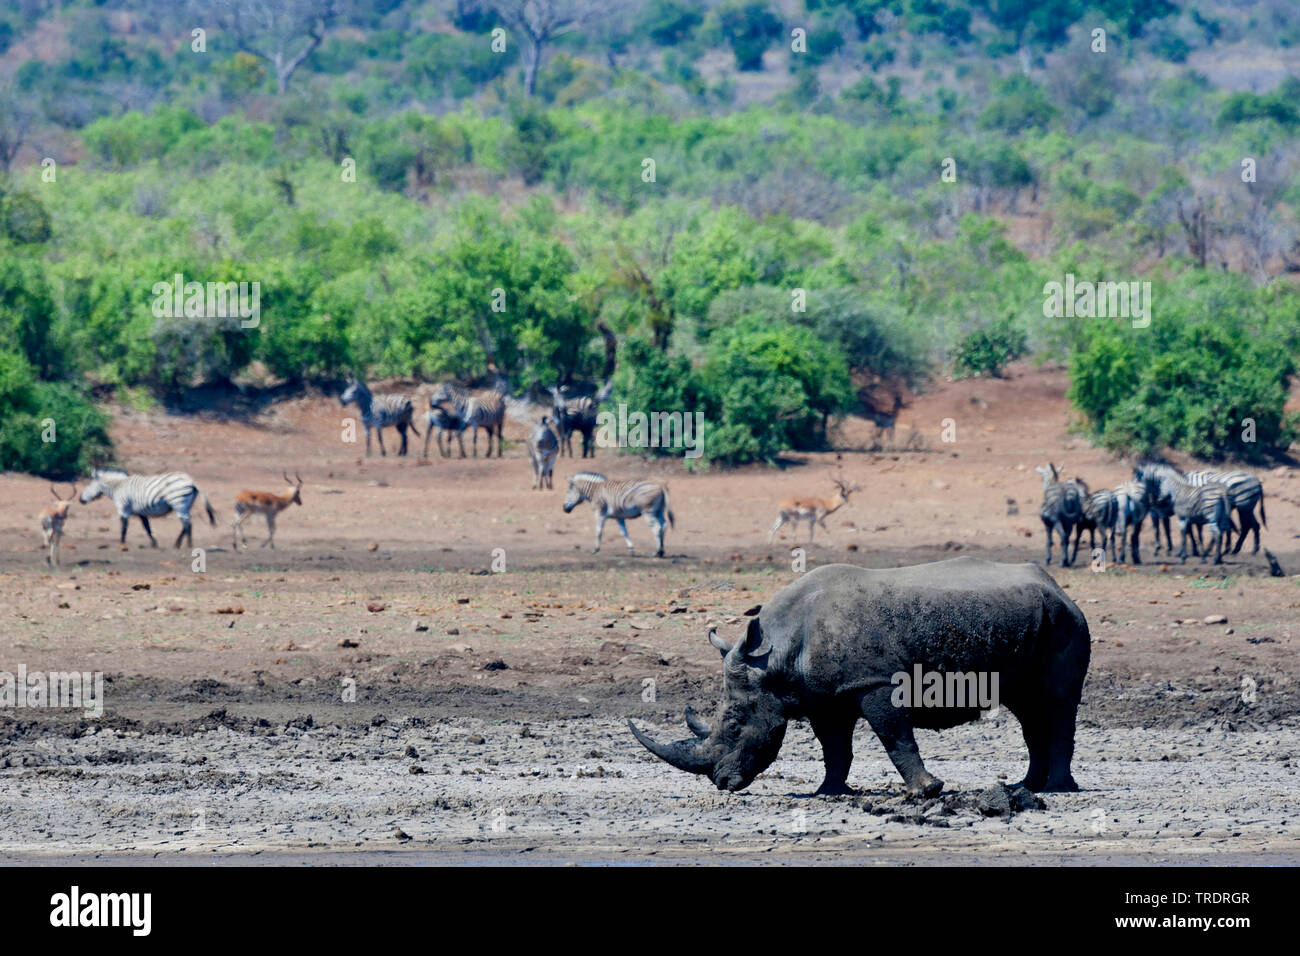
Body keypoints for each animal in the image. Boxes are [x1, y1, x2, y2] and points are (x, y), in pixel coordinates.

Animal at [78, 468, 214, 548]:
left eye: (88, 485)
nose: (80, 500)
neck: (118, 487)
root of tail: (191, 480)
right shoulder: (140, 512)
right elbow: (147, 527)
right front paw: (154, 544)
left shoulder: (123, 509)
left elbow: (123, 527)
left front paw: (122, 543)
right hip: (186, 505)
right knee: (186, 524)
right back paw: (180, 544)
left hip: (178, 503)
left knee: (187, 524)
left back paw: (186, 545)